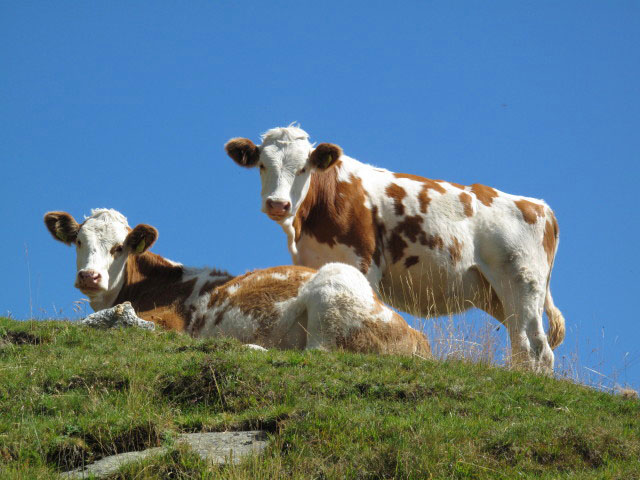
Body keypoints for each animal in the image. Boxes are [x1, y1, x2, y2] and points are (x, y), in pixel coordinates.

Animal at [43, 206, 430, 356]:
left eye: (119, 247)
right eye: (78, 241)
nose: (89, 276)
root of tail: (416, 335)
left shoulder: (169, 322)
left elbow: (126, 318)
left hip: (333, 285)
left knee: (318, 354)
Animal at [225, 125, 564, 374]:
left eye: (303, 169)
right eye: (262, 165)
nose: (277, 204)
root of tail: (540, 206)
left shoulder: (363, 263)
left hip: (521, 281)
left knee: (535, 347)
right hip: (498, 294)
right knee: (523, 343)